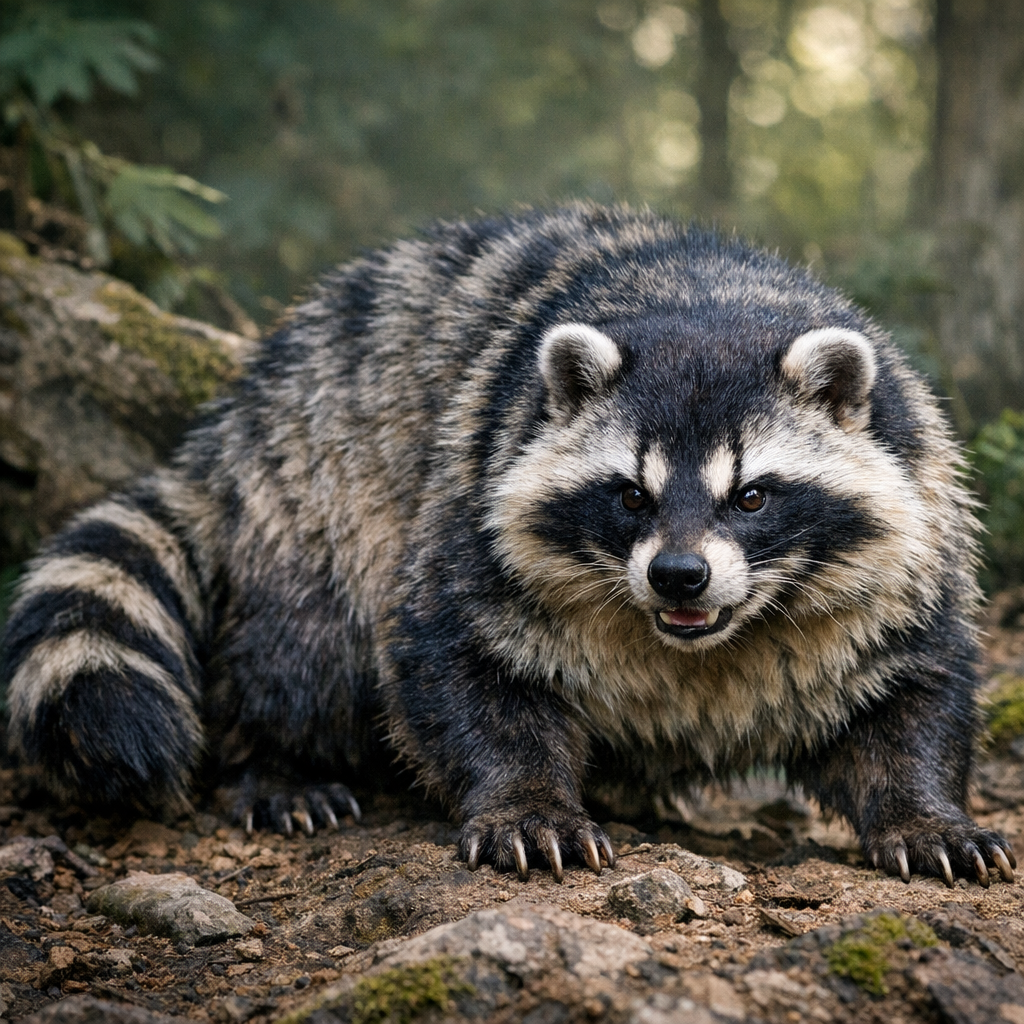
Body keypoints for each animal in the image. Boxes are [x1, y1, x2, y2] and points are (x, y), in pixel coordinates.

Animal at [3, 204, 1014, 887]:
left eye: (754, 495)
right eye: (631, 494)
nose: (678, 576)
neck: (712, 304)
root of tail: (238, 418)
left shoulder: (917, 517)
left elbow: (910, 687)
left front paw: (924, 810)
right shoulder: (472, 485)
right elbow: (457, 658)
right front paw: (528, 801)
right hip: (315, 495)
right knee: (305, 643)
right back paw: (281, 761)